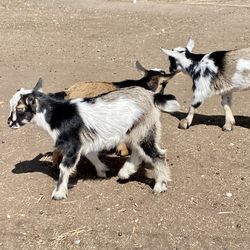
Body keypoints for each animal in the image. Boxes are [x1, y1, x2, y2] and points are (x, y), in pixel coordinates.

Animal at [8, 79, 180, 200]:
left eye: (20, 109)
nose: (9, 123)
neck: (58, 114)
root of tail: (151, 95)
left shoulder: (72, 145)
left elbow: (64, 167)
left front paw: (59, 193)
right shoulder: (84, 143)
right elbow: (91, 155)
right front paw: (102, 170)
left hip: (144, 130)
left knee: (157, 154)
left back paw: (159, 185)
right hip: (136, 130)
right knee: (138, 152)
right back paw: (124, 173)